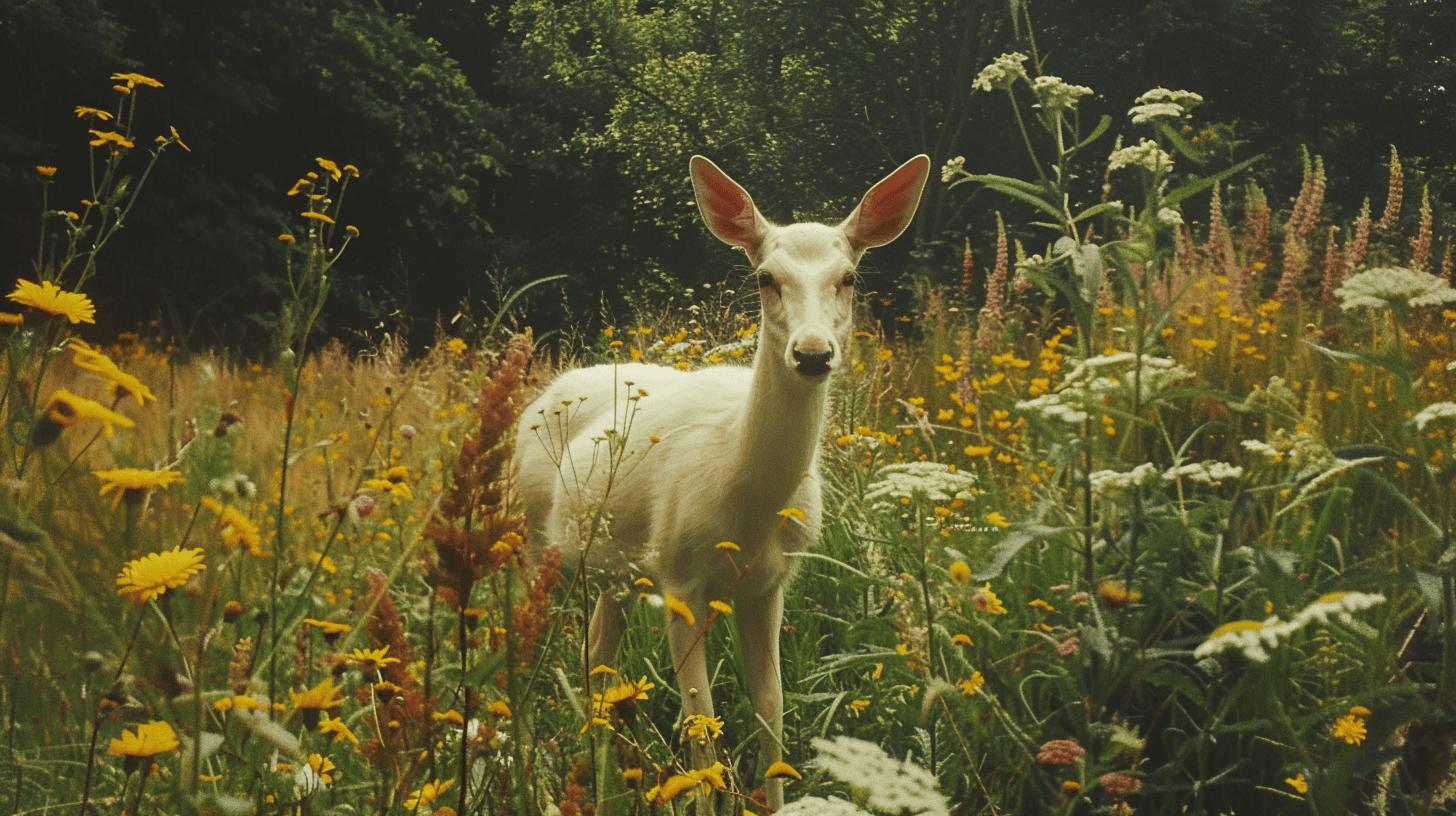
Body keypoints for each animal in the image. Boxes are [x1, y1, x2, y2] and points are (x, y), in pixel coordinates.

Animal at [518, 154, 926, 810]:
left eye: (849, 278)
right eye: (764, 278)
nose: (813, 353)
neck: (746, 503)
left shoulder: (770, 584)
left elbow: (772, 714)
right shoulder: (680, 577)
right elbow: (701, 730)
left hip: (615, 573)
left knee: (595, 657)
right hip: (533, 541)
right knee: (521, 652)